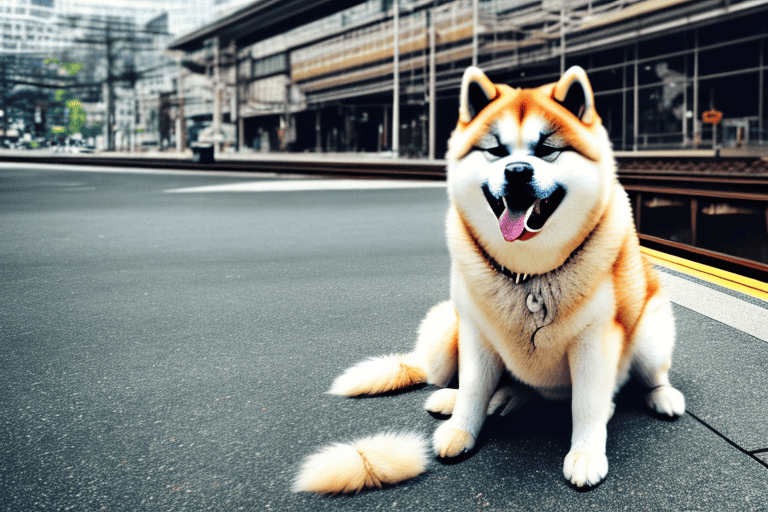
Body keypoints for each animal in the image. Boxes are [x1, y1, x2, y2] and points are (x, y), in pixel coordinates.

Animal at [294, 65, 684, 492]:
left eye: (546, 149)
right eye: (496, 151)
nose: (517, 171)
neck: (529, 274)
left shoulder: (595, 340)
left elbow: (588, 404)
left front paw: (585, 454)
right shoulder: (476, 333)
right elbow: (474, 386)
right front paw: (462, 427)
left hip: (649, 335)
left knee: (648, 376)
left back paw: (662, 397)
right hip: (445, 331)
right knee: (474, 381)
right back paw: (477, 400)